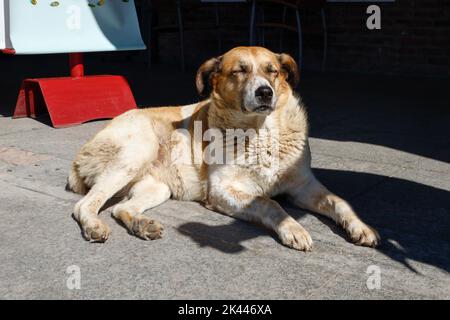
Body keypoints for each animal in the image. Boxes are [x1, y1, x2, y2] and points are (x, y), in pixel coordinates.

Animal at [67, 46, 380, 250]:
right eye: (239, 71)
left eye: (272, 71)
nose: (265, 92)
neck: (261, 133)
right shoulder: (220, 190)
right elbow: (270, 202)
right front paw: (294, 229)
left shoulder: (303, 187)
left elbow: (339, 202)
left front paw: (361, 227)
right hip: (137, 152)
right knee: (84, 205)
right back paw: (94, 226)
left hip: (157, 187)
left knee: (120, 208)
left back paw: (141, 225)